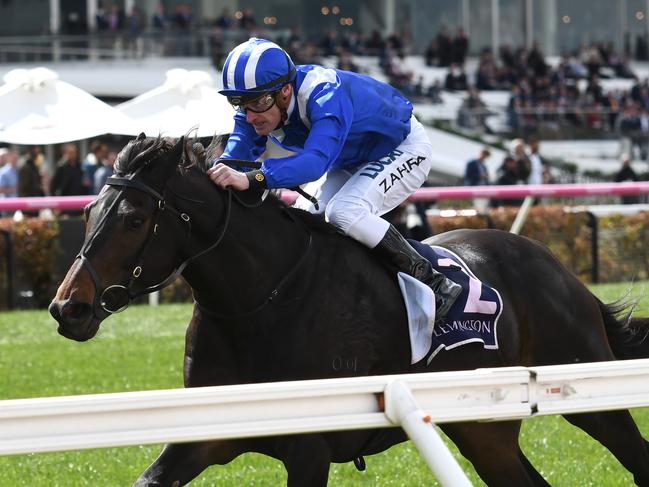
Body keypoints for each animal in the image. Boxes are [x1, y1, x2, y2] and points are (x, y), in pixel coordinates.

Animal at [50, 134, 649, 487]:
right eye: (88, 210)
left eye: (133, 219)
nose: (67, 308)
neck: (261, 299)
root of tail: (557, 267)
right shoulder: (203, 433)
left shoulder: (309, 447)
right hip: (484, 431)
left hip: (588, 393)